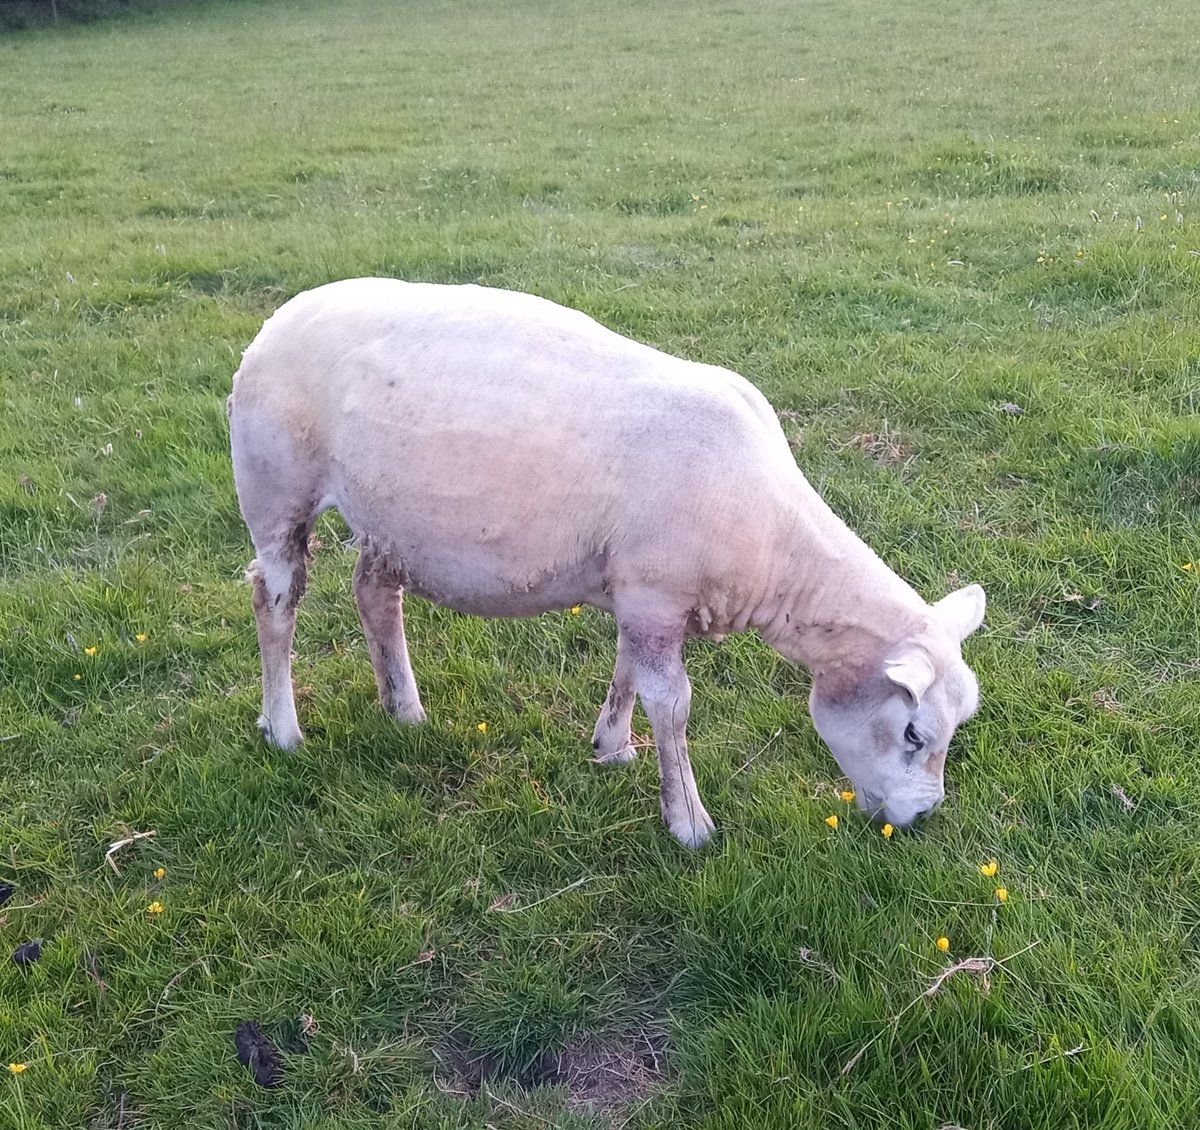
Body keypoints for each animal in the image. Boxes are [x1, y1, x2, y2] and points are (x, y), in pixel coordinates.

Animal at [226, 278, 984, 849]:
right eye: (913, 732)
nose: (921, 817)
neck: (774, 550)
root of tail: (278, 318)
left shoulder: (642, 595)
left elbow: (626, 673)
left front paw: (612, 748)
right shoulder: (655, 593)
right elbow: (673, 705)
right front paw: (689, 824)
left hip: (389, 516)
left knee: (375, 593)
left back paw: (404, 710)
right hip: (276, 489)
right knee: (276, 602)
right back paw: (284, 730)